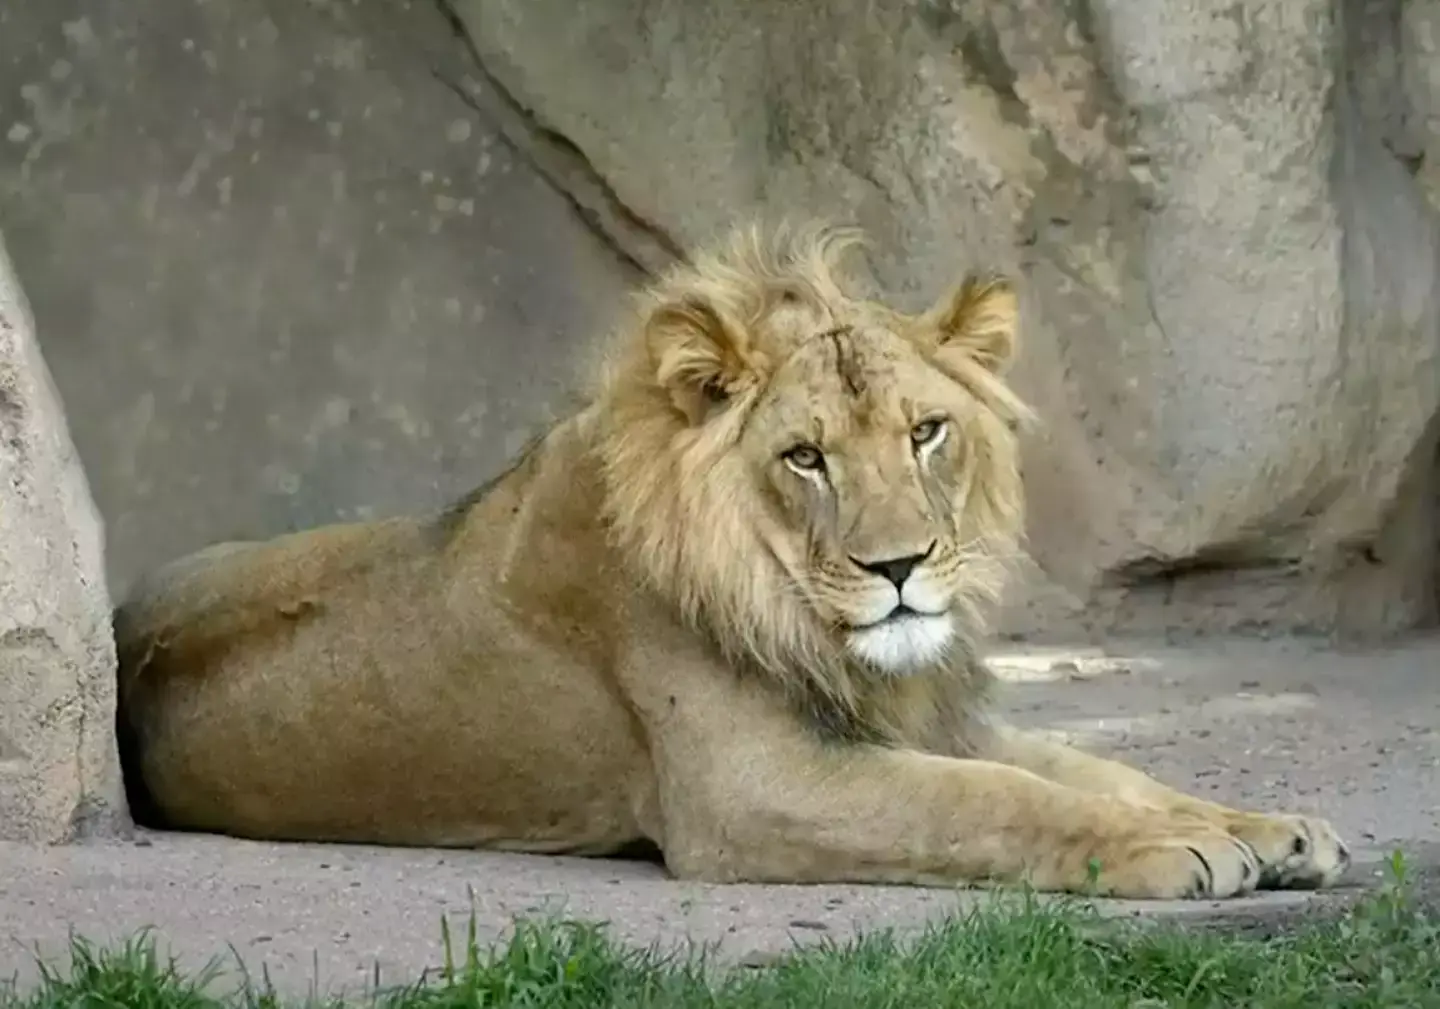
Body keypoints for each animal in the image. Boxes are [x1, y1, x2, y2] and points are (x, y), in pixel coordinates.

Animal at [114, 221, 1349, 900]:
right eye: (805, 457)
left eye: (926, 433)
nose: (901, 566)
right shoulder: (755, 790)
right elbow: (993, 800)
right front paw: (1178, 848)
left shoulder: (926, 718)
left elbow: (1098, 768)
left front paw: (1263, 827)